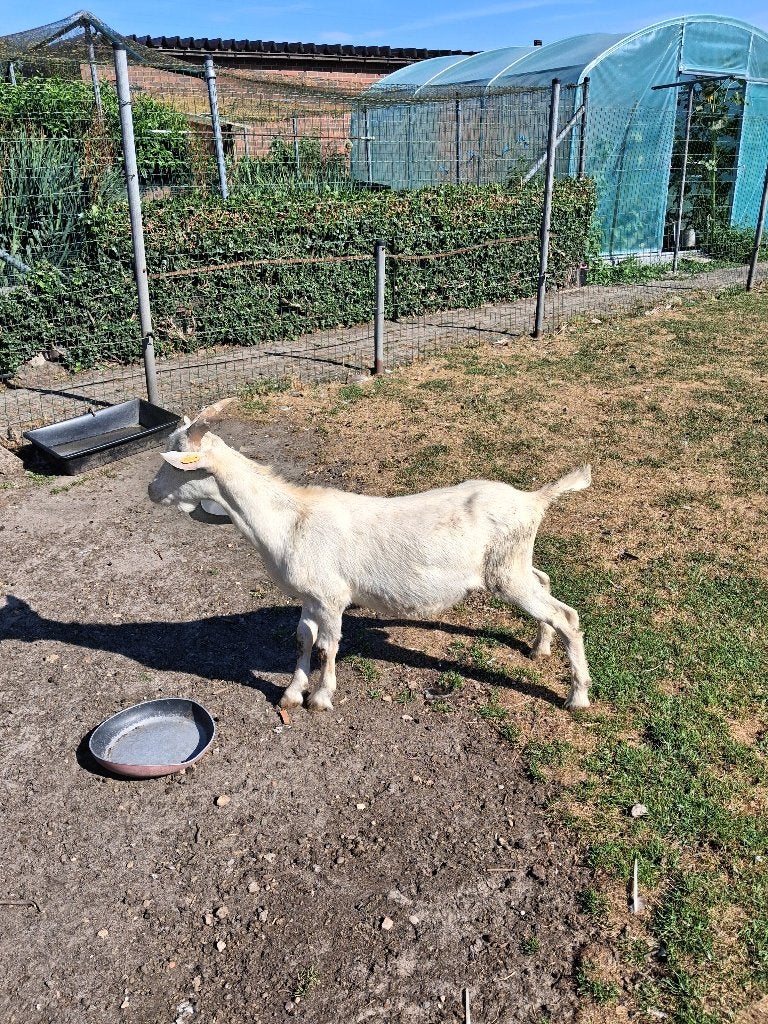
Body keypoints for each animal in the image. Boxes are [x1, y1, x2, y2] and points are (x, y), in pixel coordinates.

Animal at [148, 399, 593, 712]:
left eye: (175, 462)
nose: (150, 491)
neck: (290, 519)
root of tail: (534, 500)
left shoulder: (331, 597)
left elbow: (328, 645)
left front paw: (320, 699)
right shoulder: (310, 597)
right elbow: (302, 639)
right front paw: (292, 692)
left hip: (506, 573)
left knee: (567, 616)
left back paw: (577, 697)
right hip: (512, 563)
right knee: (545, 582)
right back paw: (539, 648)